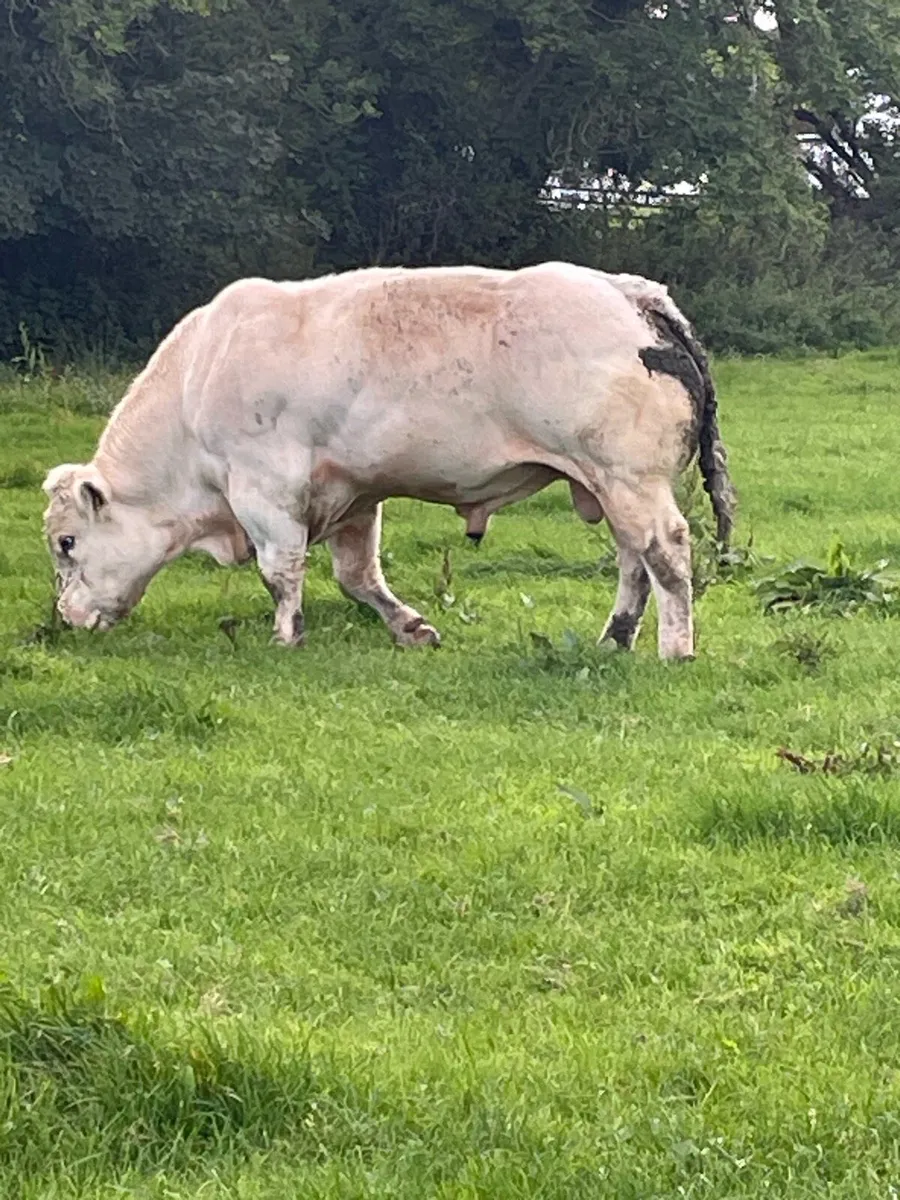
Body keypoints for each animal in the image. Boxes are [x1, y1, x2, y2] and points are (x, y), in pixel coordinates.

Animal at [42, 262, 734, 659]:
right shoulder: (354, 492)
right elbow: (357, 576)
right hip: (611, 484)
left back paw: (675, 647)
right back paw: (615, 639)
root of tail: (633, 293)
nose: (65, 619)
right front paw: (411, 628)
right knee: (634, 561)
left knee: (664, 552)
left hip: (629, 479)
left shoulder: (265, 490)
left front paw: (285, 637)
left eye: (66, 543)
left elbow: (281, 571)